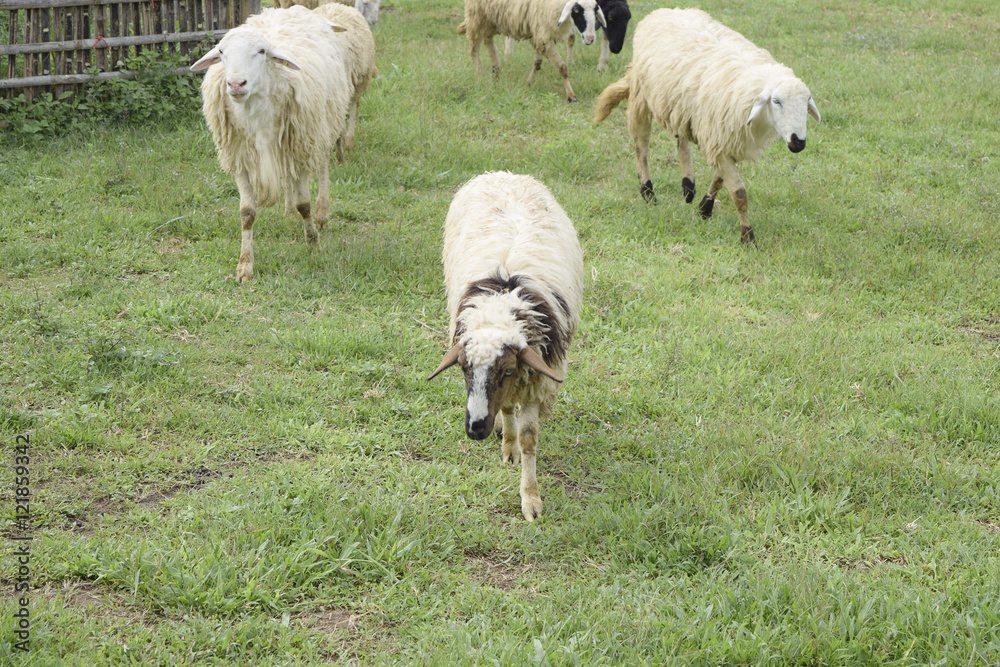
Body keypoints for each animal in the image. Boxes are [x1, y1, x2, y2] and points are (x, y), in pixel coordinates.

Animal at [191, 7, 351, 283]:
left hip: (322, 126)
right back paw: (287, 209)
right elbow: (246, 213)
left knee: (322, 166)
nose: (235, 84)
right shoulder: (240, 159)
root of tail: (291, 9)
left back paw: (322, 212)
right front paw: (245, 265)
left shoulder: (300, 149)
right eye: (221, 52)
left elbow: (304, 205)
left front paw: (313, 245)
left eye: (261, 51)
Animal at [428, 171, 583, 521]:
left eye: (508, 369)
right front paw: (508, 446)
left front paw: (530, 498)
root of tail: (503, 174)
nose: (475, 428)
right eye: (463, 368)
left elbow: (529, 439)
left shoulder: (536, 379)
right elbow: (510, 411)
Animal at [457, 0, 607, 103]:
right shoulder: (543, 33)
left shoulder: (541, 35)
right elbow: (562, 67)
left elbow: (538, 63)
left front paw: (529, 83)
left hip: (494, 18)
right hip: (476, 15)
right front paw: (571, 96)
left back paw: (496, 70)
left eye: (595, 11)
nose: (590, 38)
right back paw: (479, 75)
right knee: (474, 48)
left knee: (488, 39)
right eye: (576, 11)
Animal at [593, 7, 821, 244]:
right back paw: (648, 192)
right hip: (641, 97)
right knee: (641, 147)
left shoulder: (725, 141)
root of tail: (664, 10)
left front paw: (704, 208)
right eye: (776, 101)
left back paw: (688, 186)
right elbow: (739, 194)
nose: (798, 142)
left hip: (681, 107)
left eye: (807, 102)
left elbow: (719, 180)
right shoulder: (720, 142)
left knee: (681, 140)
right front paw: (747, 237)